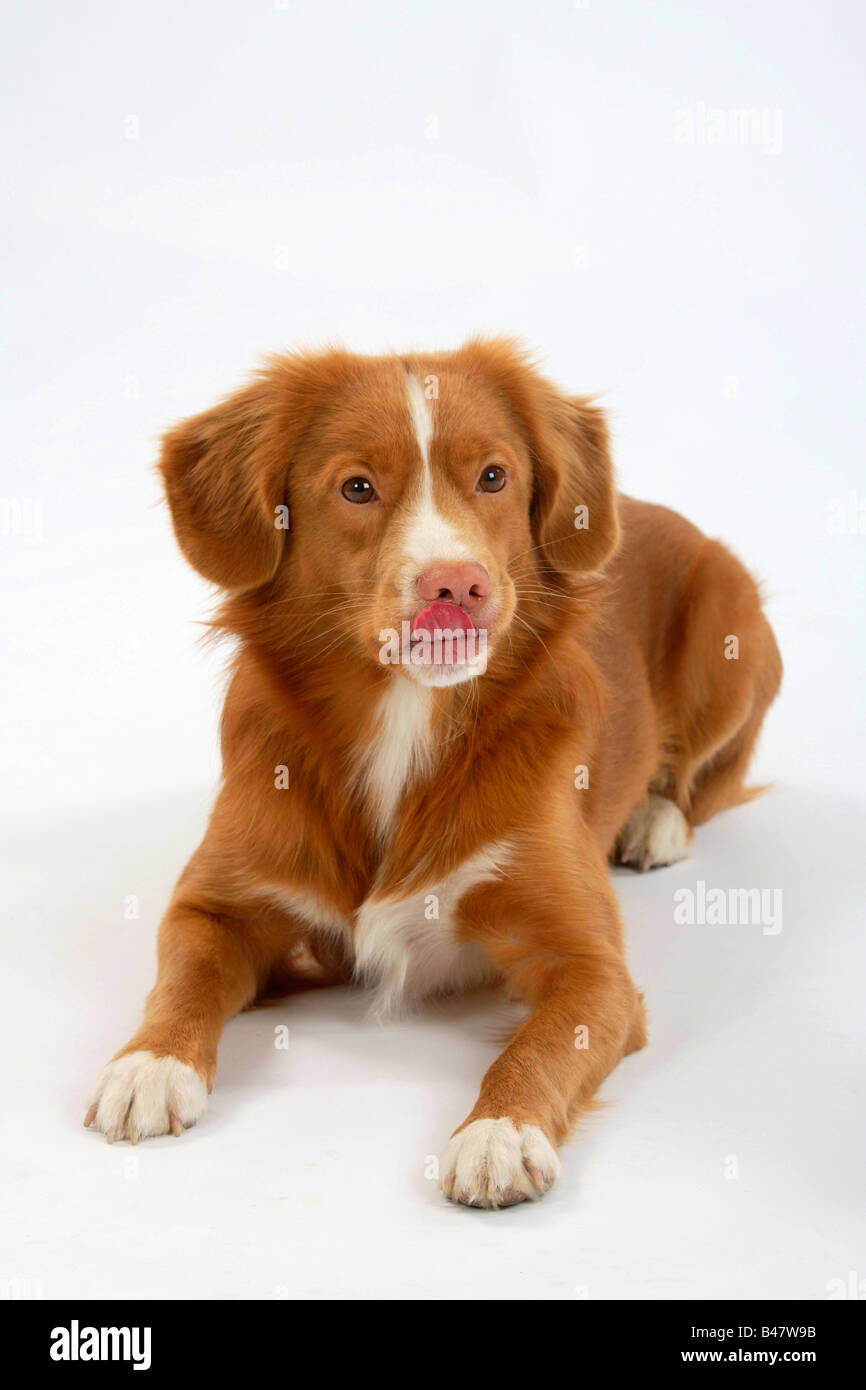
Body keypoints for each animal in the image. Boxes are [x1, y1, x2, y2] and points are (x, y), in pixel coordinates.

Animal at [84, 339, 783, 1206]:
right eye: (357, 487)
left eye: (494, 476)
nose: (457, 583)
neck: (405, 720)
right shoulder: (215, 904)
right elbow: (182, 979)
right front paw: (148, 1063)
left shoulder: (592, 967)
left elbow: (538, 1044)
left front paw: (499, 1131)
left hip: (730, 621)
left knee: (700, 779)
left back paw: (655, 821)